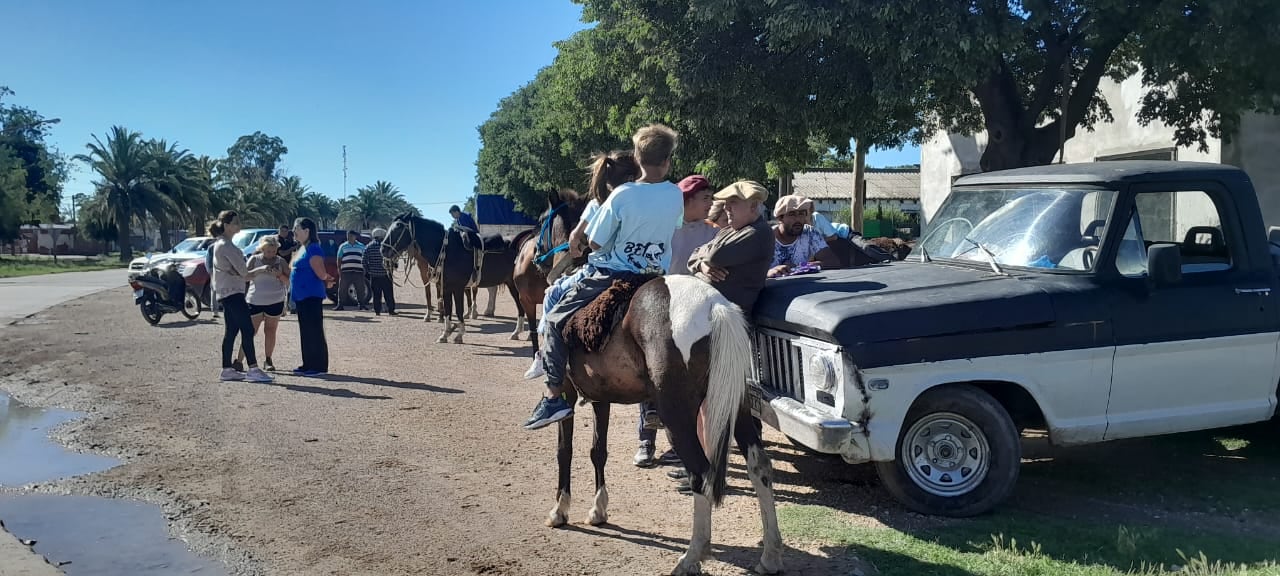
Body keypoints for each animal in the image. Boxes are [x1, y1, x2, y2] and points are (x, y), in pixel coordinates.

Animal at [381, 215, 522, 343]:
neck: (447, 251)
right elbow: (448, 309)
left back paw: (515, 332)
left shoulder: (457, 288)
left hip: (515, 286)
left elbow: (458, 310)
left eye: (398, 228)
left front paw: (459, 334)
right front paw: (445, 334)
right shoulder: (446, 287)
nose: (383, 249)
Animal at [545, 275, 783, 576]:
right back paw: (770, 556)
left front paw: (559, 511)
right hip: (737, 404)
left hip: (676, 415)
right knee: (759, 466)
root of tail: (715, 306)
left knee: (701, 474)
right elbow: (598, 451)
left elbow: (564, 451)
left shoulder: (566, 391)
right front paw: (598, 510)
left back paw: (692, 557)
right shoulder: (601, 397)